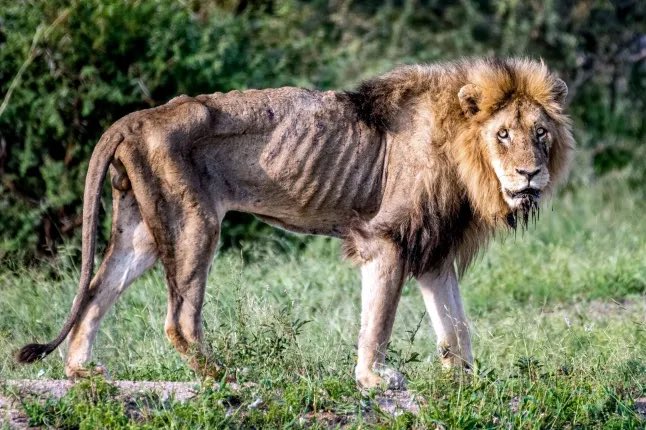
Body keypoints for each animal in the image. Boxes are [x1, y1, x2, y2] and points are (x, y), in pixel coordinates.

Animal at [17, 58, 573, 389]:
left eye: (540, 133)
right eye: (502, 134)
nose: (530, 173)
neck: (463, 153)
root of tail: (135, 118)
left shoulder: (433, 250)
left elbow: (456, 327)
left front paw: (467, 383)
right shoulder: (387, 240)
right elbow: (379, 321)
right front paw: (374, 379)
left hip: (142, 233)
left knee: (95, 292)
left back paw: (84, 371)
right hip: (195, 223)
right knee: (179, 320)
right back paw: (228, 375)